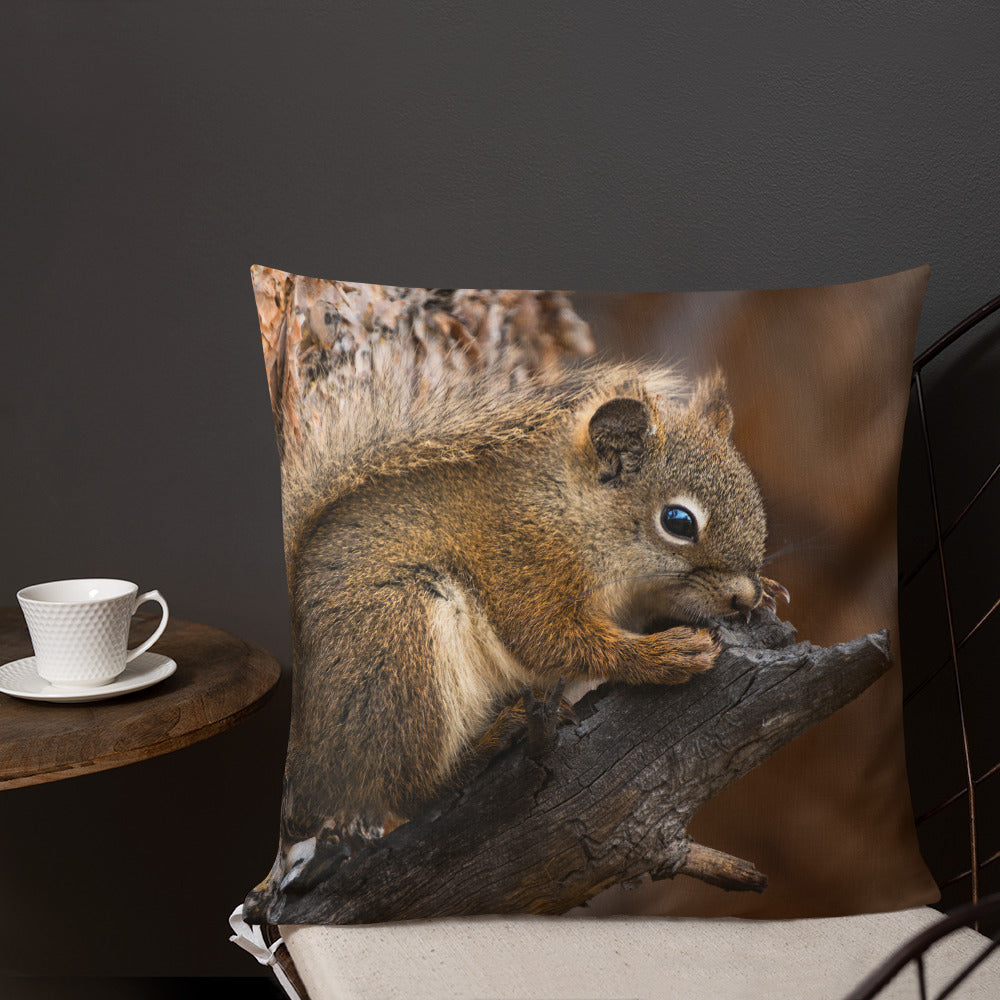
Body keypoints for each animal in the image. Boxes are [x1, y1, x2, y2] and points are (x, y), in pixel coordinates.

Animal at [271, 359, 788, 893]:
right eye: (679, 521)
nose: (743, 595)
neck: (572, 511)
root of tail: (307, 758)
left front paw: (767, 592)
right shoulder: (524, 562)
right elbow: (547, 638)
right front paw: (665, 655)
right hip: (399, 645)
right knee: (408, 790)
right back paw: (497, 739)